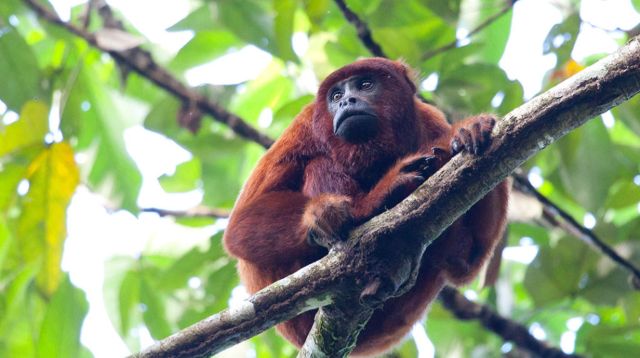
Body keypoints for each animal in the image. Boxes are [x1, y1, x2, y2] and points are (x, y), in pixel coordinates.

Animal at [225, 58, 510, 356]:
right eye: (335, 95)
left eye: (365, 84)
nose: (346, 101)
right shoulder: (303, 127)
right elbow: (239, 228)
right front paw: (330, 214)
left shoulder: (431, 120)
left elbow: (468, 260)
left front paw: (470, 130)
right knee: (319, 164)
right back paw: (370, 206)